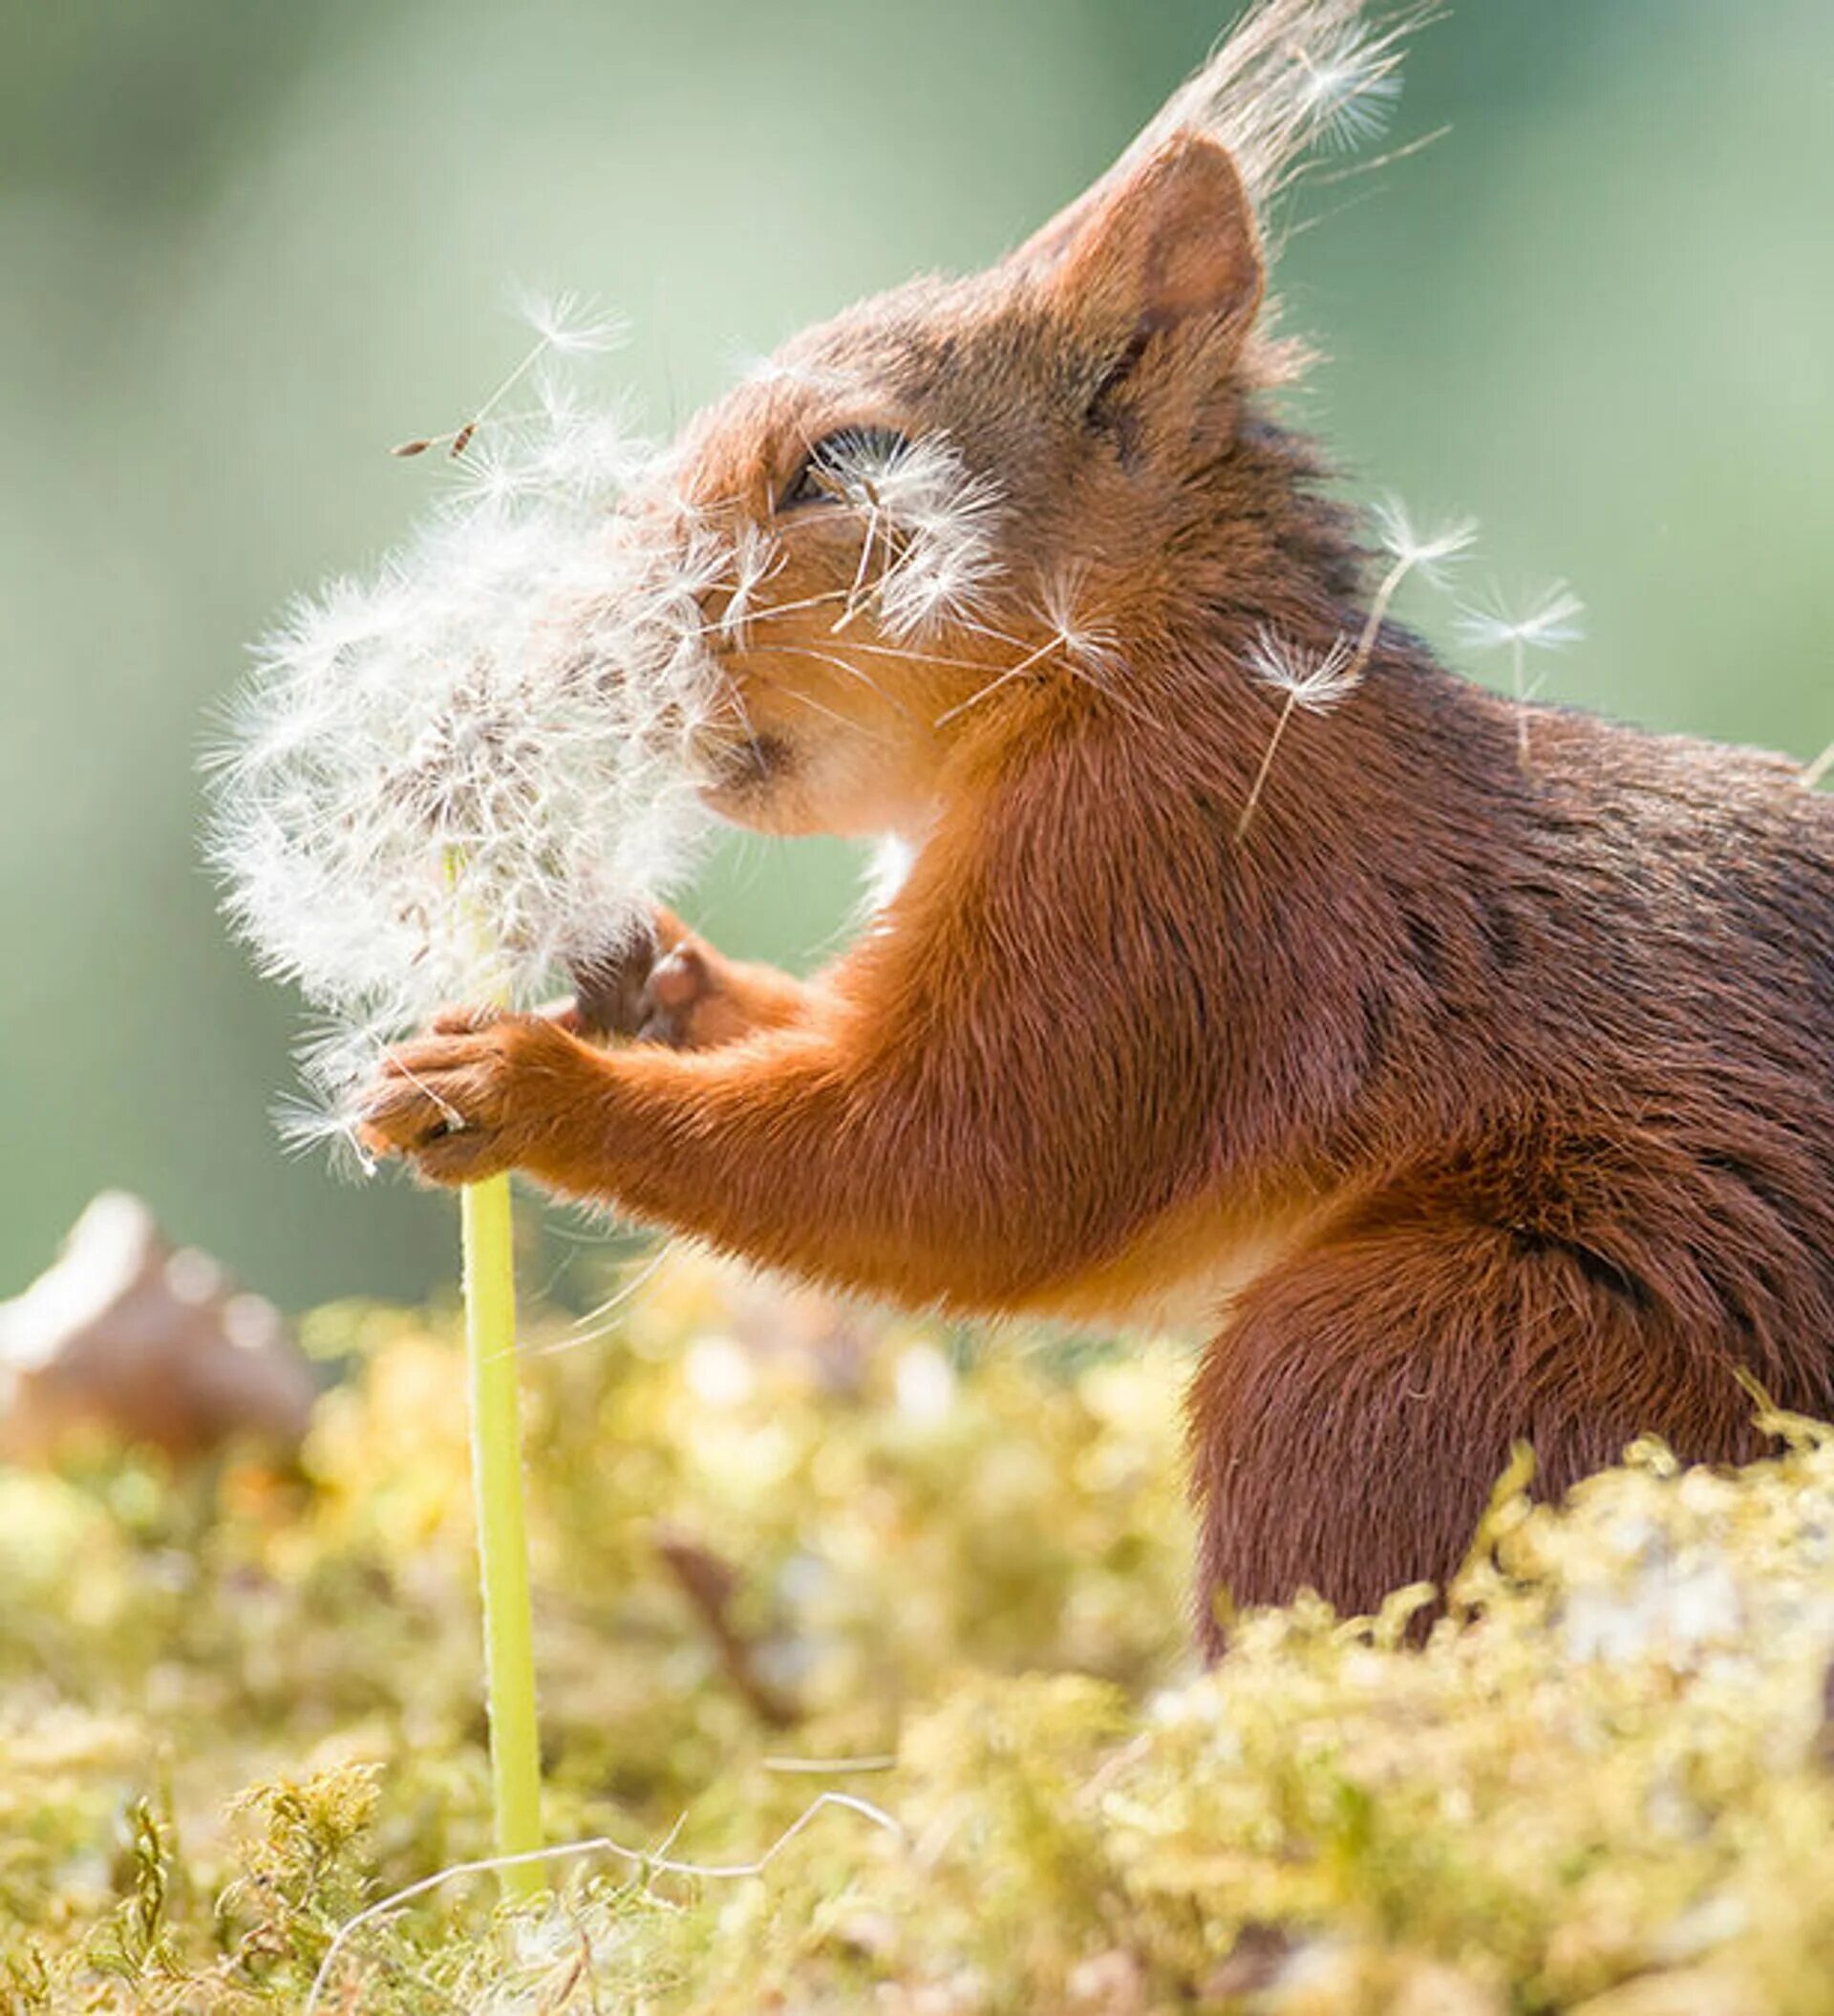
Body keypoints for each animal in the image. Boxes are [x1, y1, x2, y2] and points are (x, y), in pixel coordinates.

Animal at [354, 0, 1834, 1637]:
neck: (1128, 667)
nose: (581, 646)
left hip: (1421, 1352)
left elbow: (970, 1166)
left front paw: (520, 1082)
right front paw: (659, 979)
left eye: (847, 465)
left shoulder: (1167, 873)